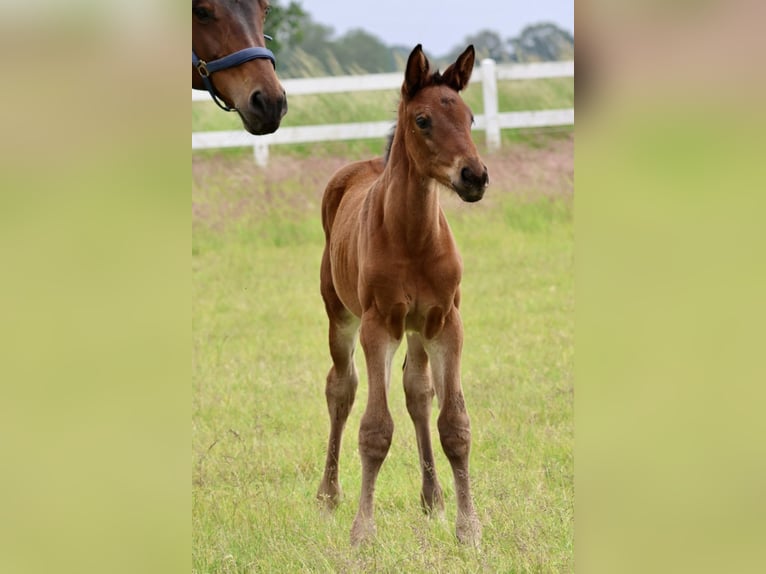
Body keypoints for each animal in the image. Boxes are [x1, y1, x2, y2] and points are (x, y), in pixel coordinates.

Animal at [320, 45, 492, 548]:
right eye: (422, 119)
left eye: (471, 118)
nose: (475, 176)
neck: (413, 238)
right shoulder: (379, 325)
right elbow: (375, 430)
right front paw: (362, 533)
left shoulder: (446, 323)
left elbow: (454, 425)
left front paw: (469, 529)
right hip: (340, 316)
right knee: (341, 388)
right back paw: (328, 496)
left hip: (418, 330)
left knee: (418, 392)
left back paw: (432, 499)